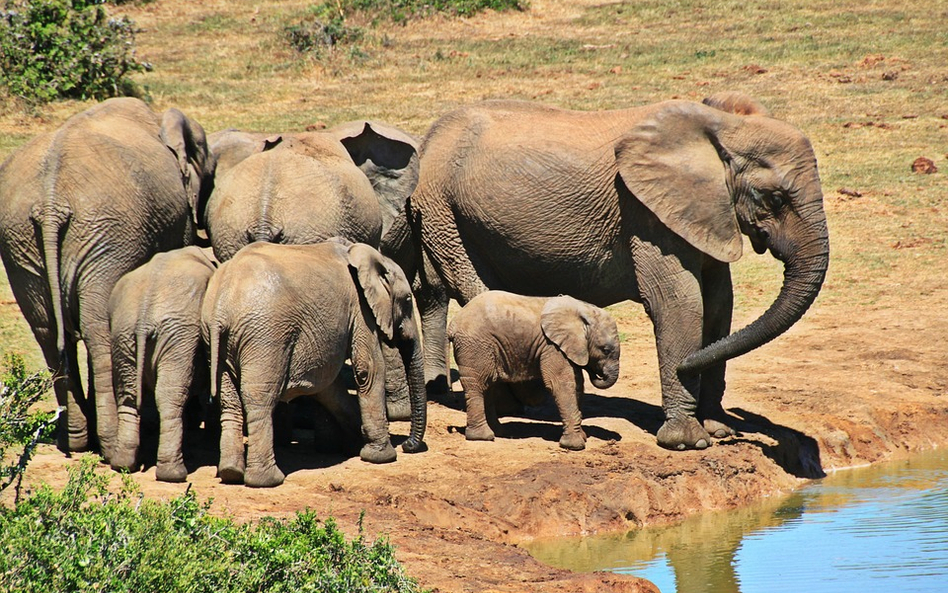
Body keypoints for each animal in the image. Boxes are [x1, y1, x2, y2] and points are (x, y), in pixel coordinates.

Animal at [0, 99, 213, 456]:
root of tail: (50, 204)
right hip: (106, 236)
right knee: (97, 330)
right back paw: (110, 445)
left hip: (22, 242)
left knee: (48, 332)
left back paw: (74, 439)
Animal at [108, 245, 218, 480]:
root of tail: (144, 316)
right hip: (178, 335)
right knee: (170, 396)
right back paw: (174, 474)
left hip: (122, 333)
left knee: (128, 395)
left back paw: (123, 465)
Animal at [452, 290, 624, 448]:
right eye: (605, 350)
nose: (598, 373)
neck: (584, 310)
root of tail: (454, 323)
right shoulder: (552, 346)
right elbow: (561, 385)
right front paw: (575, 445)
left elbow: (577, 385)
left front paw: (583, 437)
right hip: (475, 346)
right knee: (477, 384)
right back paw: (482, 437)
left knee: (488, 385)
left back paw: (498, 432)